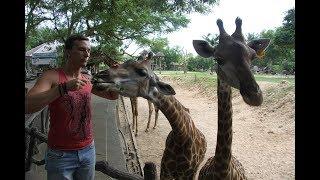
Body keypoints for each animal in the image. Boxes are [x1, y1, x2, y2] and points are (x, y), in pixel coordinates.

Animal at [92, 51, 208, 179]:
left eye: (142, 72)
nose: (99, 76)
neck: (182, 135)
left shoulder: (187, 174)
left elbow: (136, 111)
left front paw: (135, 130)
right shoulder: (165, 170)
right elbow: (135, 111)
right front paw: (134, 129)